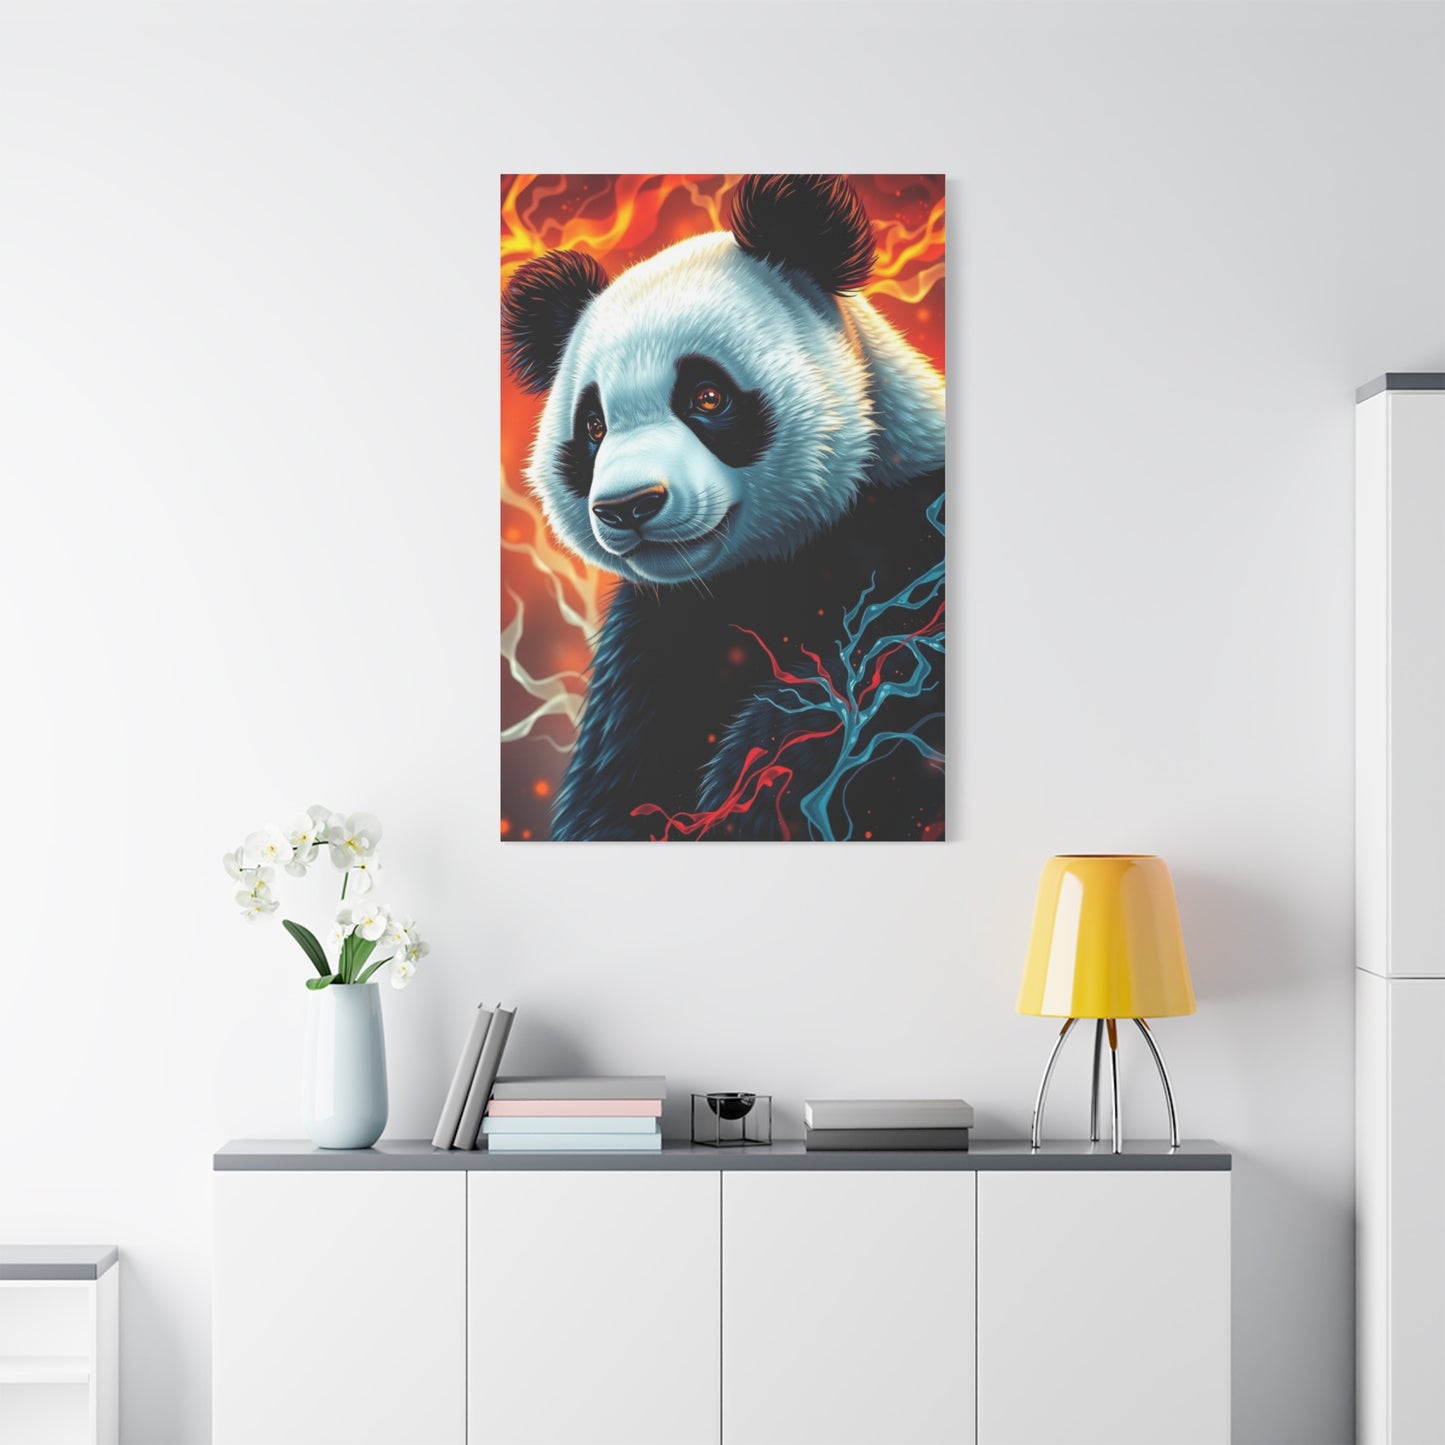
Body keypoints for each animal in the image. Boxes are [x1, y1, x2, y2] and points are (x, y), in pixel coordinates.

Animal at [503, 174, 946, 841]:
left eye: (707, 396)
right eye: (593, 426)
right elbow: (614, 790)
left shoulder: (913, 548)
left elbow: (870, 709)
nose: (628, 506)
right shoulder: (653, 643)